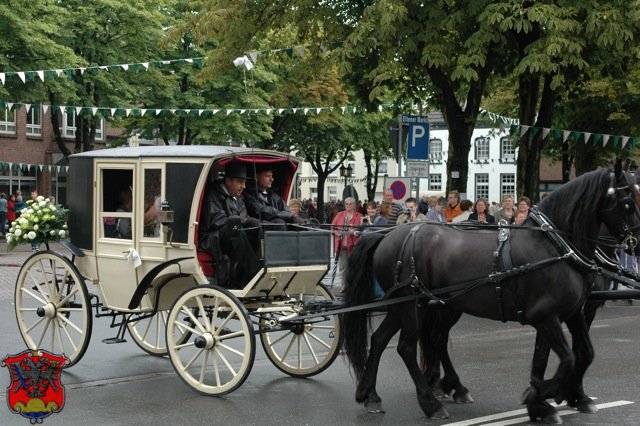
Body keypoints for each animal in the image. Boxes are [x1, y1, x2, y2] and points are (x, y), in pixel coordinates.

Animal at [342, 162, 636, 420]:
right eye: (628, 201)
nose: (636, 243)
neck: (555, 247)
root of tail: (386, 234)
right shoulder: (547, 316)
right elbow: (568, 359)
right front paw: (541, 396)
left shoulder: (568, 313)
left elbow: (576, 354)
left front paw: (550, 400)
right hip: (413, 305)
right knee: (406, 347)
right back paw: (430, 403)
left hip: (415, 305)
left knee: (385, 339)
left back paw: (372, 395)